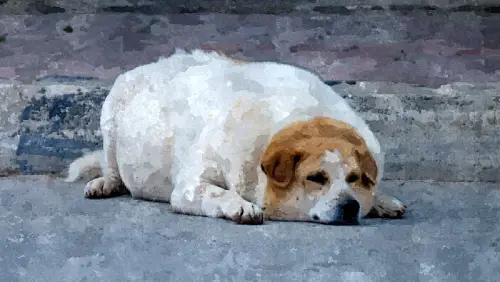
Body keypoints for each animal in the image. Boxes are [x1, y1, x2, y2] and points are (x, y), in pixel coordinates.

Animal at [64, 48, 406, 225]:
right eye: (316, 178)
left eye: (353, 178)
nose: (349, 207)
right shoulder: (190, 187)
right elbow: (215, 193)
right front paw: (241, 207)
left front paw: (380, 201)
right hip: (111, 113)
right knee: (110, 166)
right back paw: (105, 183)